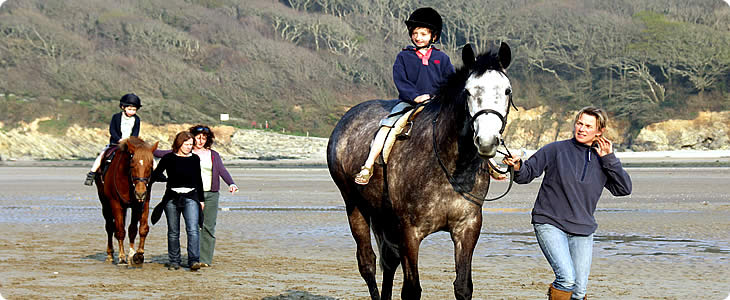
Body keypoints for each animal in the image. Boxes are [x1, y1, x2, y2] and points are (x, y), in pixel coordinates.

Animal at [94, 136, 157, 264]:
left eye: (150, 166)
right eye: (132, 165)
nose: (140, 193)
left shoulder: (142, 204)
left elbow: (139, 229)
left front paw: (137, 254)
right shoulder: (116, 203)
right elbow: (120, 230)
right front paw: (122, 256)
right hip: (105, 204)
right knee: (110, 227)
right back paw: (110, 254)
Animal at [328, 42, 510, 300]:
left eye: (506, 91)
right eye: (468, 92)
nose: (486, 141)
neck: (448, 164)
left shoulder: (467, 227)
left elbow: (463, 287)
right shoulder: (409, 233)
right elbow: (411, 290)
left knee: (388, 261)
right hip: (355, 206)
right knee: (368, 263)